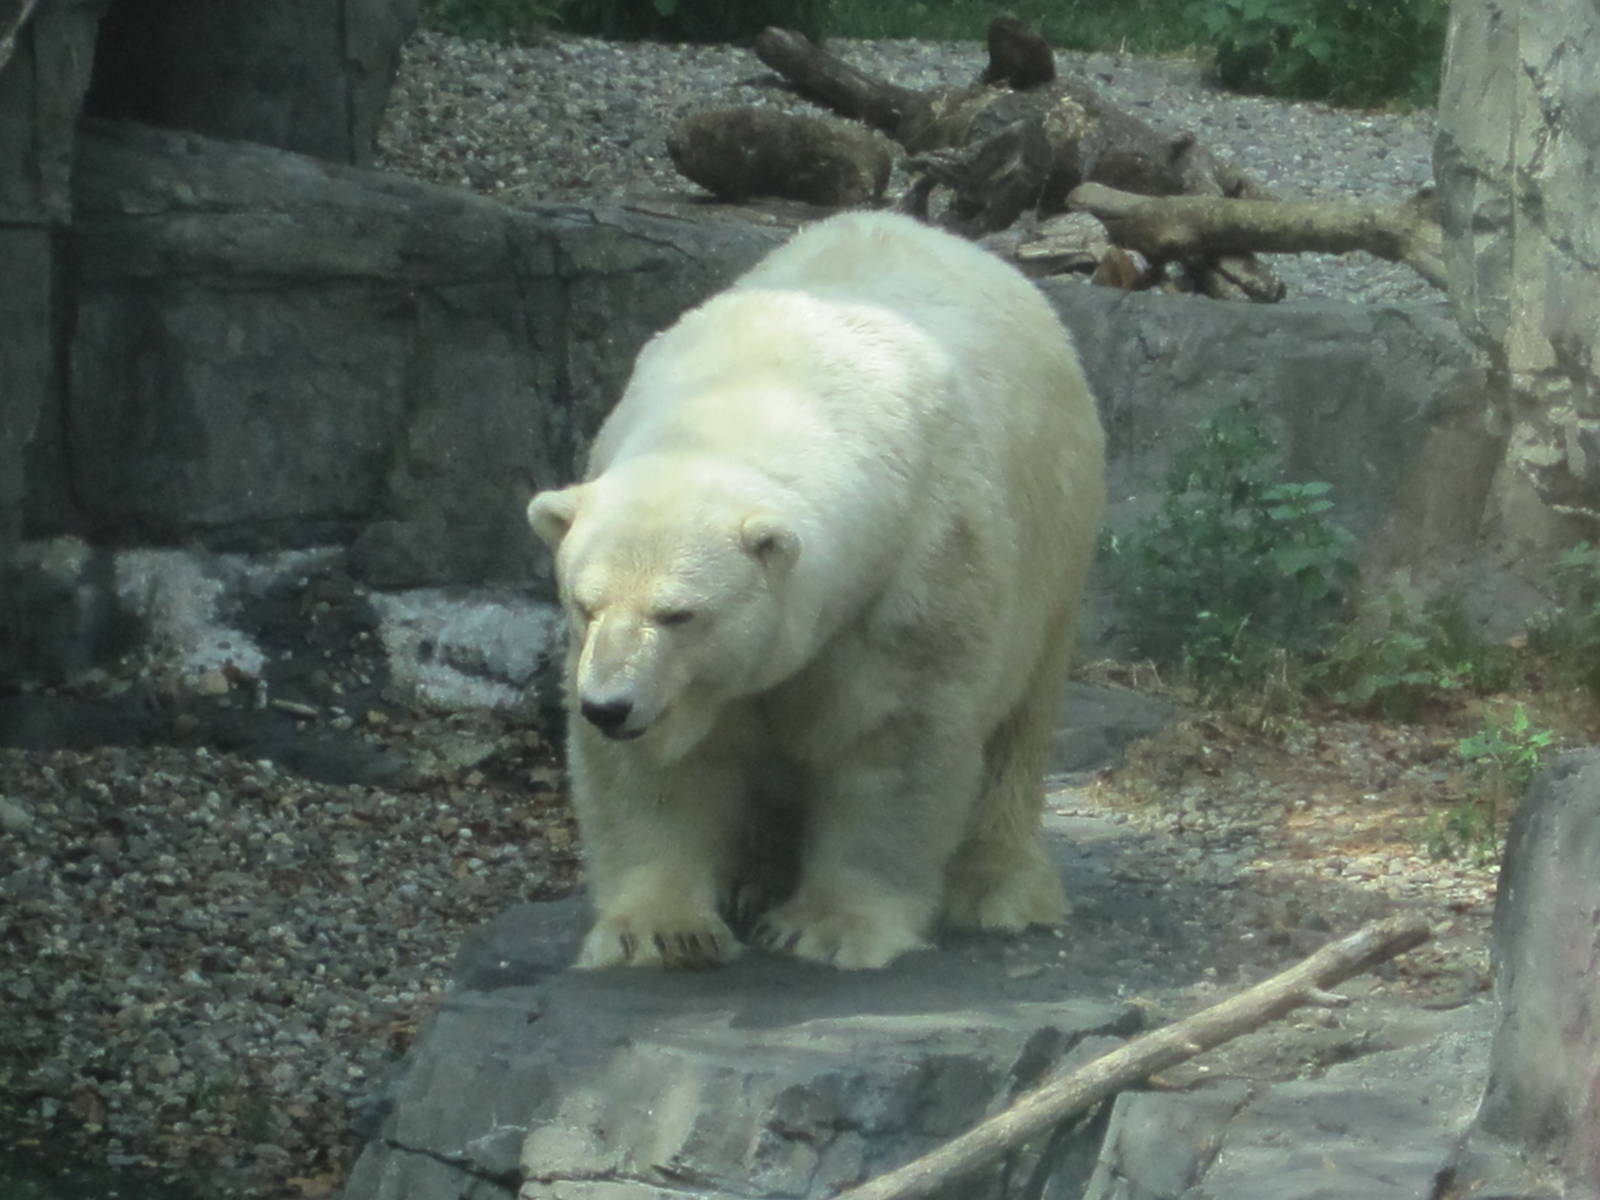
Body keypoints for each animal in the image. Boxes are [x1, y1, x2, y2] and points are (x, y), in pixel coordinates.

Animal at [527, 211, 1105, 970]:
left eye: (679, 614)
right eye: (584, 604)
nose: (608, 706)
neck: (750, 398)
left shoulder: (914, 578)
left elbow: (892, 741)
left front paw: (826, 927)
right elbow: (655, 772)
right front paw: (661, 929)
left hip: (1055, 537)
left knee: (1021, 720)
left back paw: (998, 890)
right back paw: (754, 877)